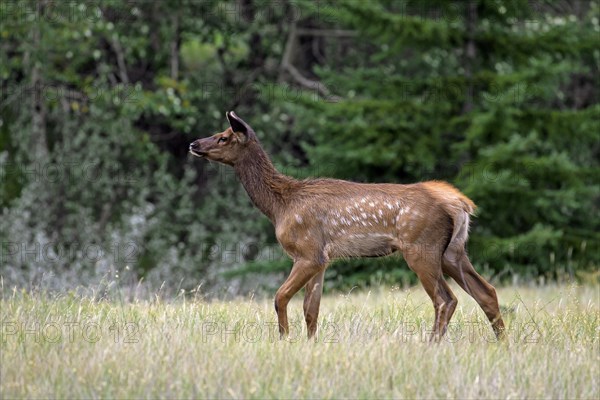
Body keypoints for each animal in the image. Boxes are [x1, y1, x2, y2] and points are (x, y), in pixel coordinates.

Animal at [189, 111, 506, 340]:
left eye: (223, 137)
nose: (193, 144)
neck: (281, 205)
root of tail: (460, 204)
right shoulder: (320, 258)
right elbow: (311, 310)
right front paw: (309, 344)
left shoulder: (308, 252)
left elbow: (280, 297)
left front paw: (284, 340)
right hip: (453, 251)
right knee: (486, 292)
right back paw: (502, 343)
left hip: (421, 247)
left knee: (445, 299)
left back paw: (432, 344)